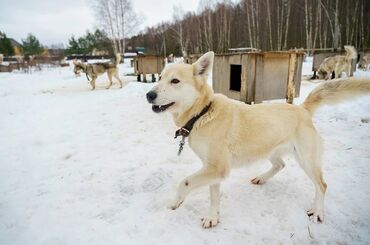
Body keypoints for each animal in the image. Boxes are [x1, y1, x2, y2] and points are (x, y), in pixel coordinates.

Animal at [146, 52, 370, 229]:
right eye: (160, 77)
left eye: (175, 81)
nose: (149, 94)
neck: (202, 113)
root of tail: (302, 109)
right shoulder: (213, 170)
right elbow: (214, 195)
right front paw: (212, 217)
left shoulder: (217, 169)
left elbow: (185, 182)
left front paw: (176, 202)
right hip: (270, 150)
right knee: (280, 165)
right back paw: (261, 178)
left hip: (307, 160)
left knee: (322, 185)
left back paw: (318, 212)